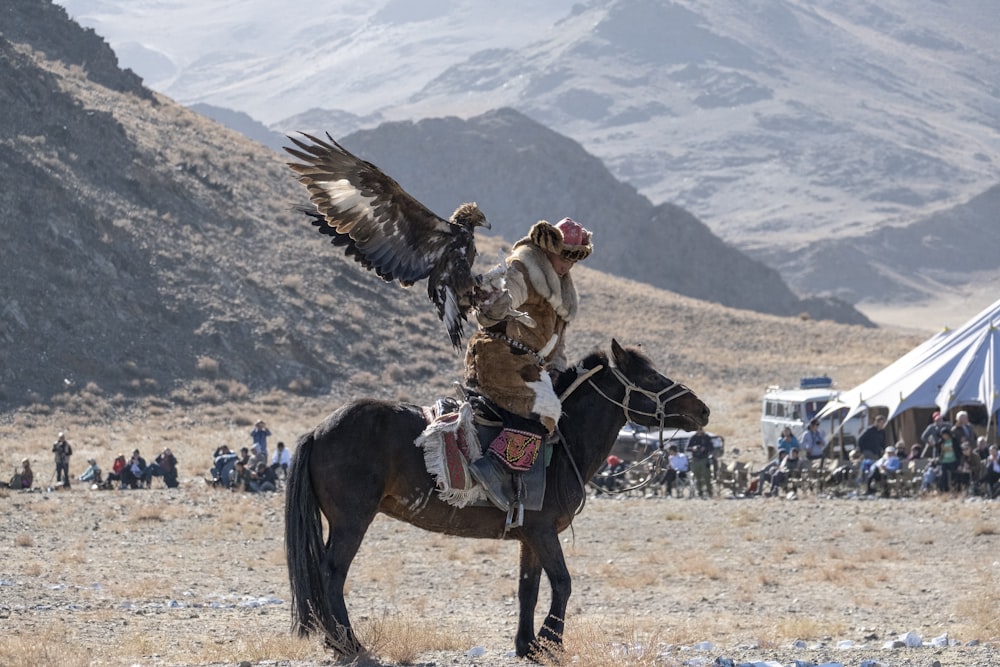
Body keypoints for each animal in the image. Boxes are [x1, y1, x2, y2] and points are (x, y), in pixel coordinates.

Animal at [284, 342, 712, 660]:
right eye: (651, 377)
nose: (702, 409)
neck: (563, 441)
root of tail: (318, 431)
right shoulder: (543, 531)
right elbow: (562, 582)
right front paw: (552, 642)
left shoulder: (530, 534)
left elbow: (529, 587)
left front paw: (528, 645)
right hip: (352, 520)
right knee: (332, 573)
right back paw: (348, 644)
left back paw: (335, 640)